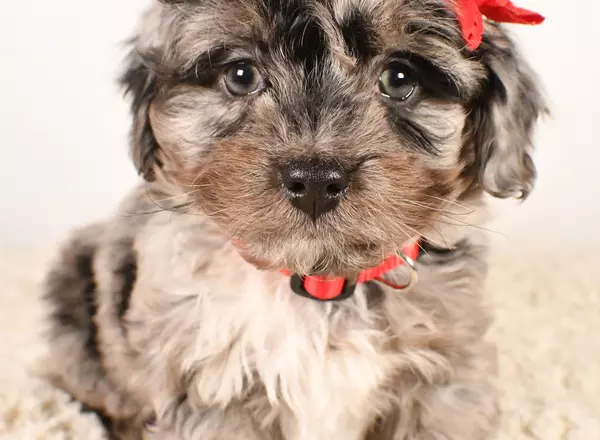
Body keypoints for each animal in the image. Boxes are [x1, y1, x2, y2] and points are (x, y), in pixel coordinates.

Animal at [42, 1, 548, 438]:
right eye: (241, 75)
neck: (318, 283)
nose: (316, 180)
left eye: (400, 77)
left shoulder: (445, 378)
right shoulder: (211, 387)